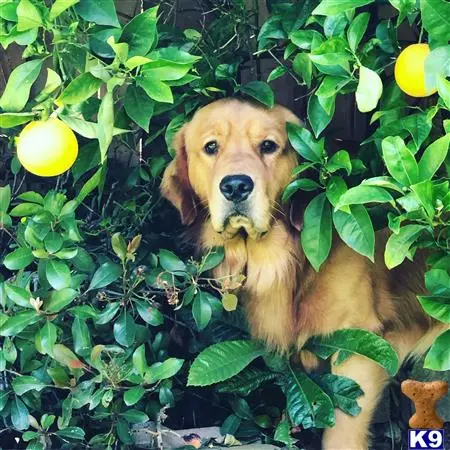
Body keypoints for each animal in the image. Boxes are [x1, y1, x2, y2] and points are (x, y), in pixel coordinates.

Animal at [160, 99, 444, 450]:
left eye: (268, 146)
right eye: (211, 147)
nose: (236, 186)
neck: (293, 261)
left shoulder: (359, 347)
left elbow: (340, 434)